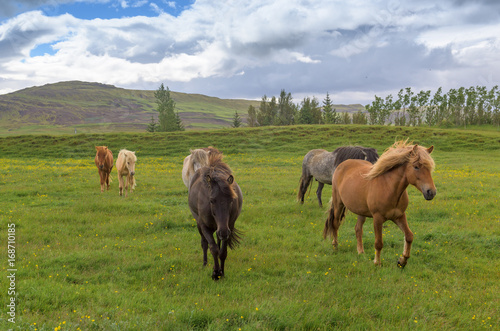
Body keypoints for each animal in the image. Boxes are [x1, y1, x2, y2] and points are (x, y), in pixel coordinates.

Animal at [188, 152, 242, 280]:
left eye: (231, 200)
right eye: (212, 200)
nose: (223, 232)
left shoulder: (228, 227)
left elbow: (222, 252)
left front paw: (221, 272)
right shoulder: (205, 226)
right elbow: (213, 249)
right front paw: (216, 273)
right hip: (200, 225)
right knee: (204, 243)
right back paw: (205, 263)